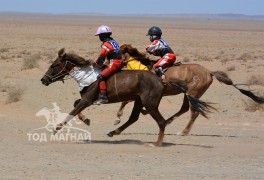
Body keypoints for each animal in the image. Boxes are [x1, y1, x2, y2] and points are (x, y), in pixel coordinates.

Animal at [40, 48, 208, 146]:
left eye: (54, 65)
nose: (43, 80)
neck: (88, 76)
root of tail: (161, 80)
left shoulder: (87, 100)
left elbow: (72, 112)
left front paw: (56, 129)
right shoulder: (88, 100)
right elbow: (76, 105)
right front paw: (86, 119)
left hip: (150, 104)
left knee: (162, 121)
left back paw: (158, 143)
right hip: (140, 101)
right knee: (134, 118)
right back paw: (114, 132)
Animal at [117, 44, 264, 135]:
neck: (142, 68)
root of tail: (209, 72)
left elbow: (125, 101)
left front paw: (118, 117)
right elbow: (128, 102)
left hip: (194, 94)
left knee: (194, 113)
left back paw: (183, 132)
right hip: (188, 94)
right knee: (184, 109)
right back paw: (169, 122)